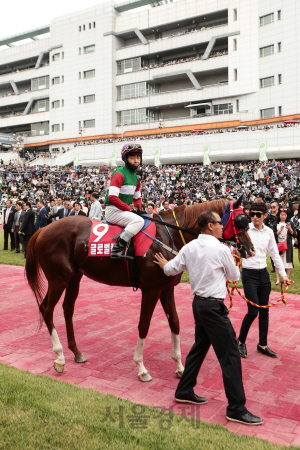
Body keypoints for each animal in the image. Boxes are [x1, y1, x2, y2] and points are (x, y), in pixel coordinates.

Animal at [25, 200, 252, 380]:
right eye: (240, 220)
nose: (250, 249)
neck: (167, 236)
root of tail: (43, 230)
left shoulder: (167, 289)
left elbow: (175, 322)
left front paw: (180, 366)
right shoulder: (151, 289)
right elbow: (144, 325)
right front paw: (142, 368)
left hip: (74, 277)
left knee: (67, 309)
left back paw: (76, 352)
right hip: (58, 278)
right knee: (46, 309)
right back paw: (60, 357)